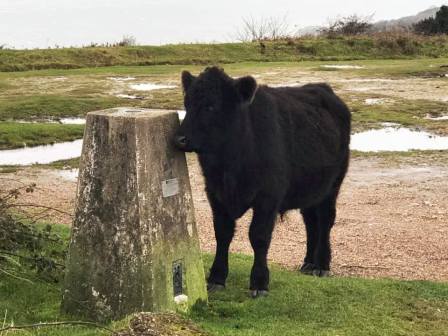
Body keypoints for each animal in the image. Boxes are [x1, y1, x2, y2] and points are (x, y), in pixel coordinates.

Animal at [174, 66, 350, 296]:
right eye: (187, 104)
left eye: (211, 106)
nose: (179, 139)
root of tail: (323, 88)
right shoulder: (215, 194)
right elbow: (222, 234)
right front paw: (216, 278)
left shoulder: (268, 197)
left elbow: (258, 236)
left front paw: (259, 282)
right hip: (310, 189)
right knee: (310, 221)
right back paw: (308, 263)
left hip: (333, 185)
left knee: (325, 220)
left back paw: (321, 265)